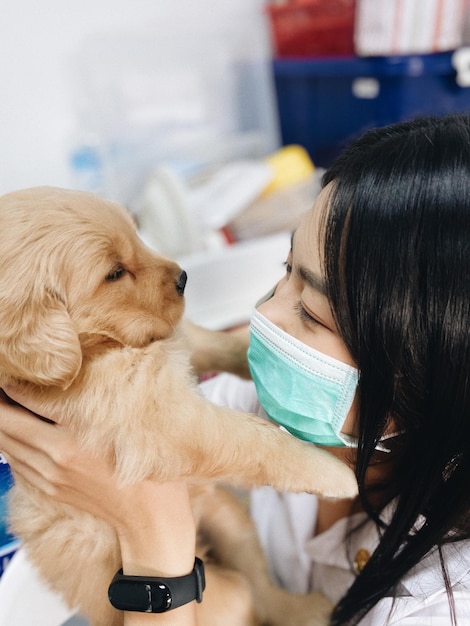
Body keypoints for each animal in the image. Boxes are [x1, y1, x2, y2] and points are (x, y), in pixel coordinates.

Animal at [0, 186, 354, 624]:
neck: (100, 350)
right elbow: (260, 441)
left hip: (226, 516)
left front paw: (263, 360)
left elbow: (219, 344)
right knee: (249, 596)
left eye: (136, 234)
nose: (184, 277)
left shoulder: (176, 342)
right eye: (114, 273)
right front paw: (334, 473)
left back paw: (302, 608)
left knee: (262, 586)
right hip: (225, 589)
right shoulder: (168, 420)